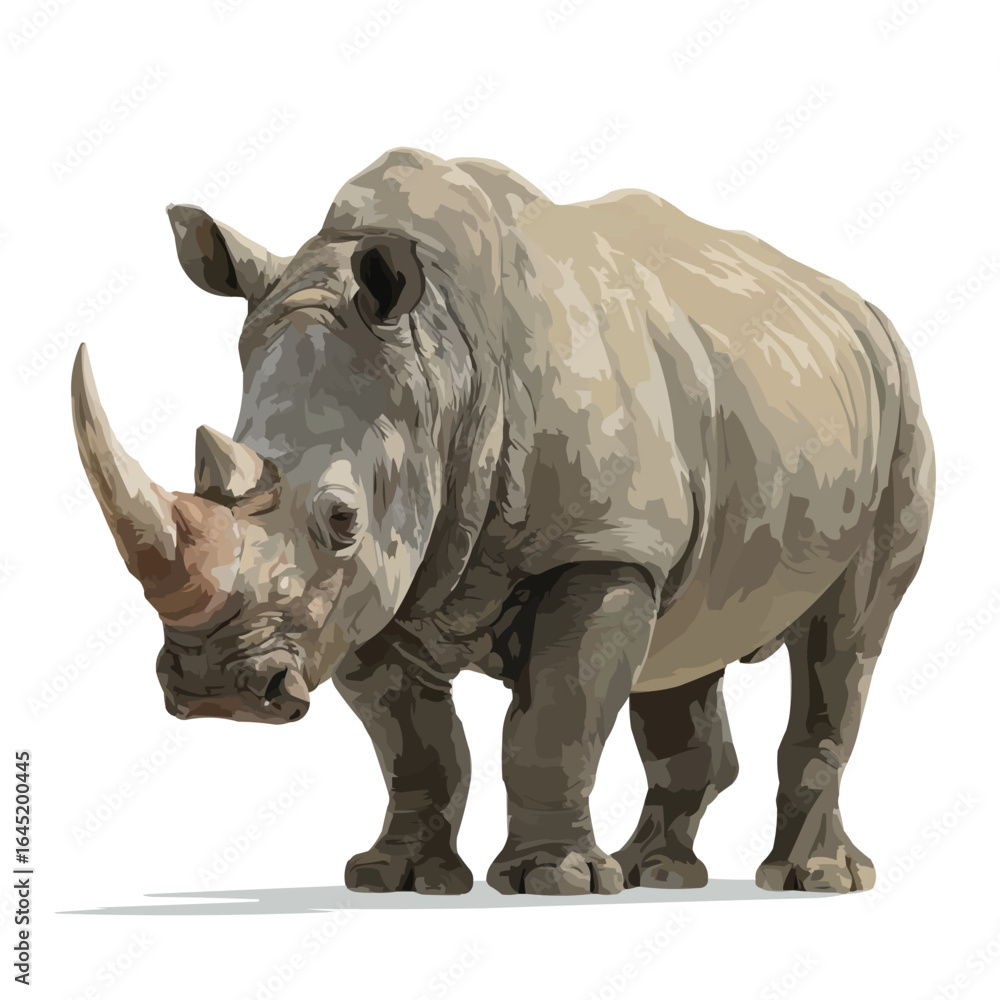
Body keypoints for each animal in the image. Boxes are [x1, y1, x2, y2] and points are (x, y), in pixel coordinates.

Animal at [71, 147, 934, 896]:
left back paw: (812, 881)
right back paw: (656, 873)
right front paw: (397, 880)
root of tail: (861, 309)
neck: (444, 362)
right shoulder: (375, 588)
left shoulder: (599, 546)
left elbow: (555, 720)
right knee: (685, 647)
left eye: (342, 518)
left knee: (847, 638)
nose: (215, 687)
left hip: (899, 401)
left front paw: (555, 882)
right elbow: (415, 746)